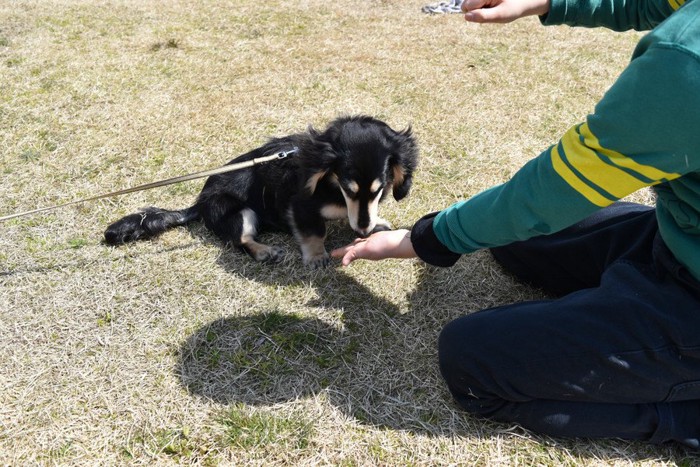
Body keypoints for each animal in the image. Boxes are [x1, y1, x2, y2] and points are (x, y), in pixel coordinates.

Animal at [102, 114, 418, 266]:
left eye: (379, 190)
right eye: (347, 188)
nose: (364, 231)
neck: (329, 182)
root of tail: (198, 203)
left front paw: (376, 224)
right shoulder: (300, 206)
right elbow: (314, 231)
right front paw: (316, 257)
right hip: (239, 211)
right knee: (240, 240)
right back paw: (264, 251)